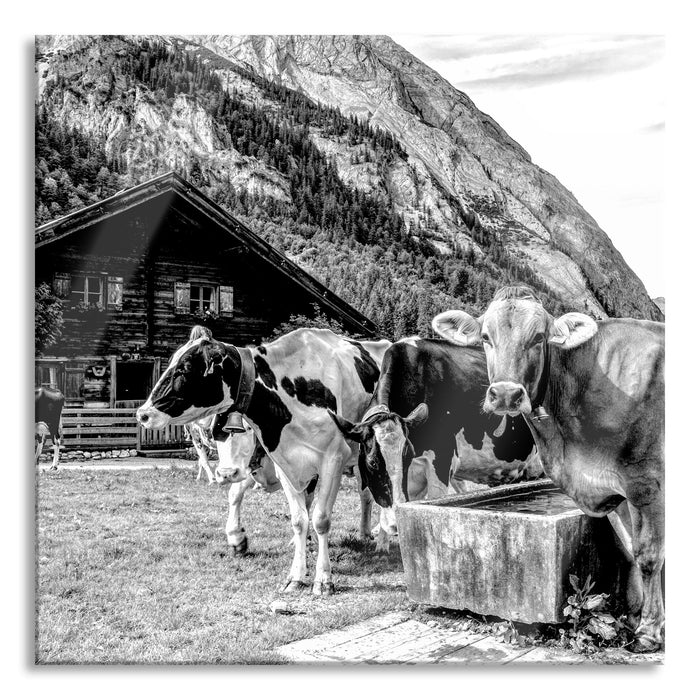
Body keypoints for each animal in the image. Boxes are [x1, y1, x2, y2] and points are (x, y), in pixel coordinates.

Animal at [136, 328, 390, 594]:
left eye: (185, 367)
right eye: (218, 432)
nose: (142, 414)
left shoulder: (333, 458)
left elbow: (321, 519)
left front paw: (323, 579)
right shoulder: (284, 464)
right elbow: (297, 518)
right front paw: (294, 573)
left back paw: (381, 540)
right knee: (365, 495)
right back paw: (364, 532)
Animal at [431, 285, 665, 652]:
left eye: (539, 338)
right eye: (485, 337)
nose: (506, 394)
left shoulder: (646, 484)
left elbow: (649, 556)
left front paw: (650, 632)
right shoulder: (614, 488)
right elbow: (629, 549)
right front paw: (635, 618)